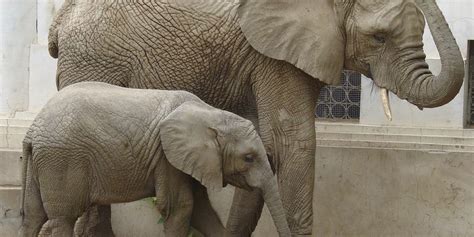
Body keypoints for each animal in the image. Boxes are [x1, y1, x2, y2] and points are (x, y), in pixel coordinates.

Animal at [18, 82, 290, 237]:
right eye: (249, 158)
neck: (211, 112)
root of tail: (32, 129)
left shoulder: (188, 160)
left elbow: (202, 212)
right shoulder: (167, 158)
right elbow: (181, 208)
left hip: (44, 162)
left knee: (33, 216)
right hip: (61, 161)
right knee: (62, 219)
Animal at [48, 0, 462, 235]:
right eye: (379, 38)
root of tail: (60, 19)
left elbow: (268, 146)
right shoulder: (274, 56)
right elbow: (293, 143)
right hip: (91, 59)